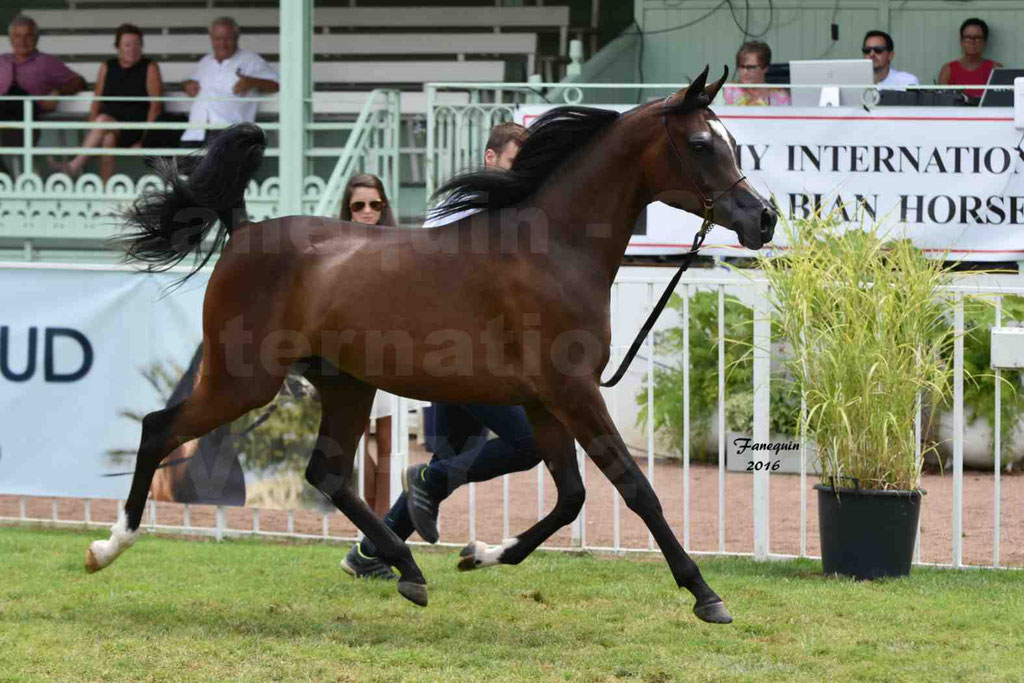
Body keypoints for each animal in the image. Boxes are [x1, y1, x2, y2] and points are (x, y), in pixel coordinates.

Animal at [88, 69, 774, 626]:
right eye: (701, 144)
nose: (762, 219)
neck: (552, 249)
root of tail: (244, 230)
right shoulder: (573, 394)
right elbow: (636, 489)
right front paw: (706, 595)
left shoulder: (546, 402)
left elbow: (571, 498)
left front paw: (479, 554)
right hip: (243, 379)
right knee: (158, 429)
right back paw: (106, 547)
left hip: (345, 383)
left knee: (327, 473)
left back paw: (410, 572)